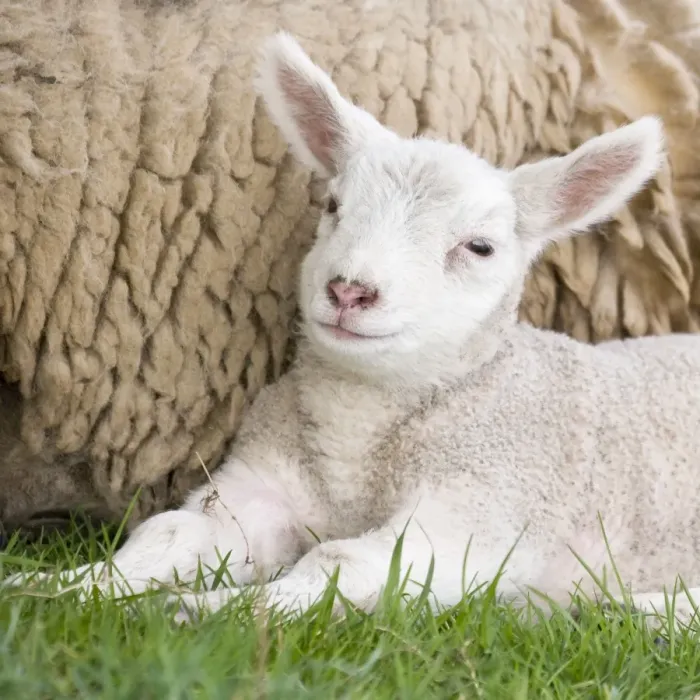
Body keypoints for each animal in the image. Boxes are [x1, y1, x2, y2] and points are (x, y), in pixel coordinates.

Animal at [5, 32, 700, 631]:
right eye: (333, 205)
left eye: (479, 247)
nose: (349, 291)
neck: (361, 428)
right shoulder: (262, 483)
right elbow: (171, 533)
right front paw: (56, 590)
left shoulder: (481, 510)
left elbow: (339, 562)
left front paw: (205, 611)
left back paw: (638, 613)